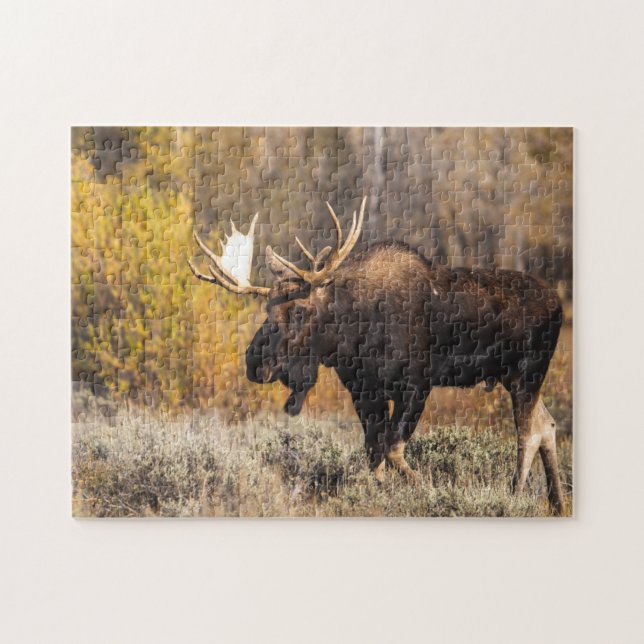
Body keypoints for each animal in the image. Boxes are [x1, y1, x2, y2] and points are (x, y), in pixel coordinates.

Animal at [189, 197, 566, 514]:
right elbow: (374, 452)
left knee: (528, 433)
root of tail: (559, 304)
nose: (254, 363)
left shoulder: (417, 386)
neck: (352, 335)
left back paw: (515, 495)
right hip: (513, 378)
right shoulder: (364, 392)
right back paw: (557, 503)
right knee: (547, 424)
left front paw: (426, 491)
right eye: (268, 308)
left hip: (527, 374)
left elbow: (391, 448)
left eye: (298, 311)